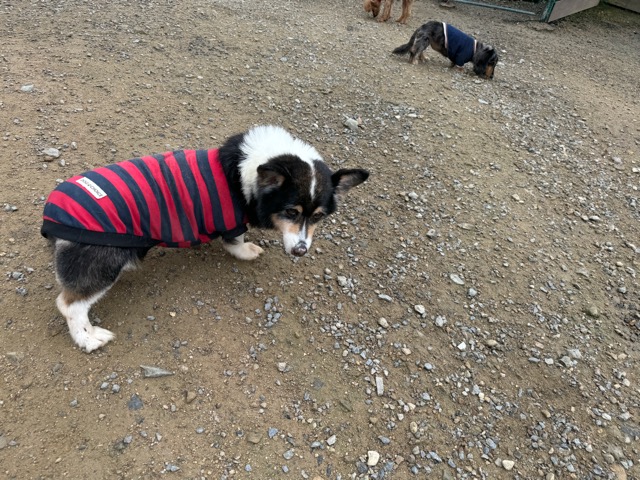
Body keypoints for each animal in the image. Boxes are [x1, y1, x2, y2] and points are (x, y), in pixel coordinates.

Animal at [41, 125, 369, 352]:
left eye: (318, 217)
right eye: (291, 211)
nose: (301, 251)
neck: (242, 174)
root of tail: (50, 215)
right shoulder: (232, 222)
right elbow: (235, 243)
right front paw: (246, 250)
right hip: (104, 265)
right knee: (70, 305)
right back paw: (88, 339)